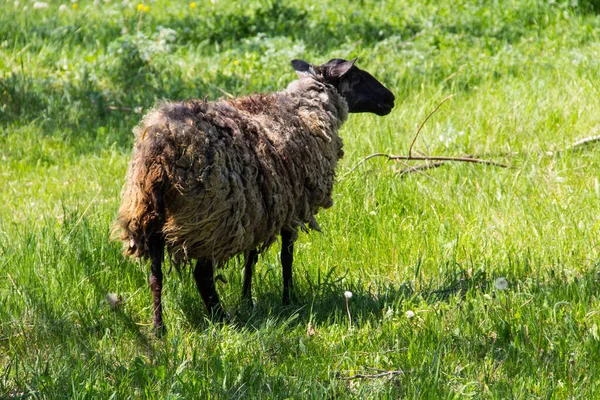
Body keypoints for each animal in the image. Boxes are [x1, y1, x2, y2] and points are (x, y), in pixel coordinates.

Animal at [115, 57, 396, 334]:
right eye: (356, 76)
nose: (390, 98)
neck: (307, 110)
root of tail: (160, 149)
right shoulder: (292, 209)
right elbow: (286, 258)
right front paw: (288, 300)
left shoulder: (259, 209)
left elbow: (250, 260)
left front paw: (247, 299)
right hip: (209, 218)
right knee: (202, 275)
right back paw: (221, 318)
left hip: (149, 217)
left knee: (155, 276)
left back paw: (159, 328)